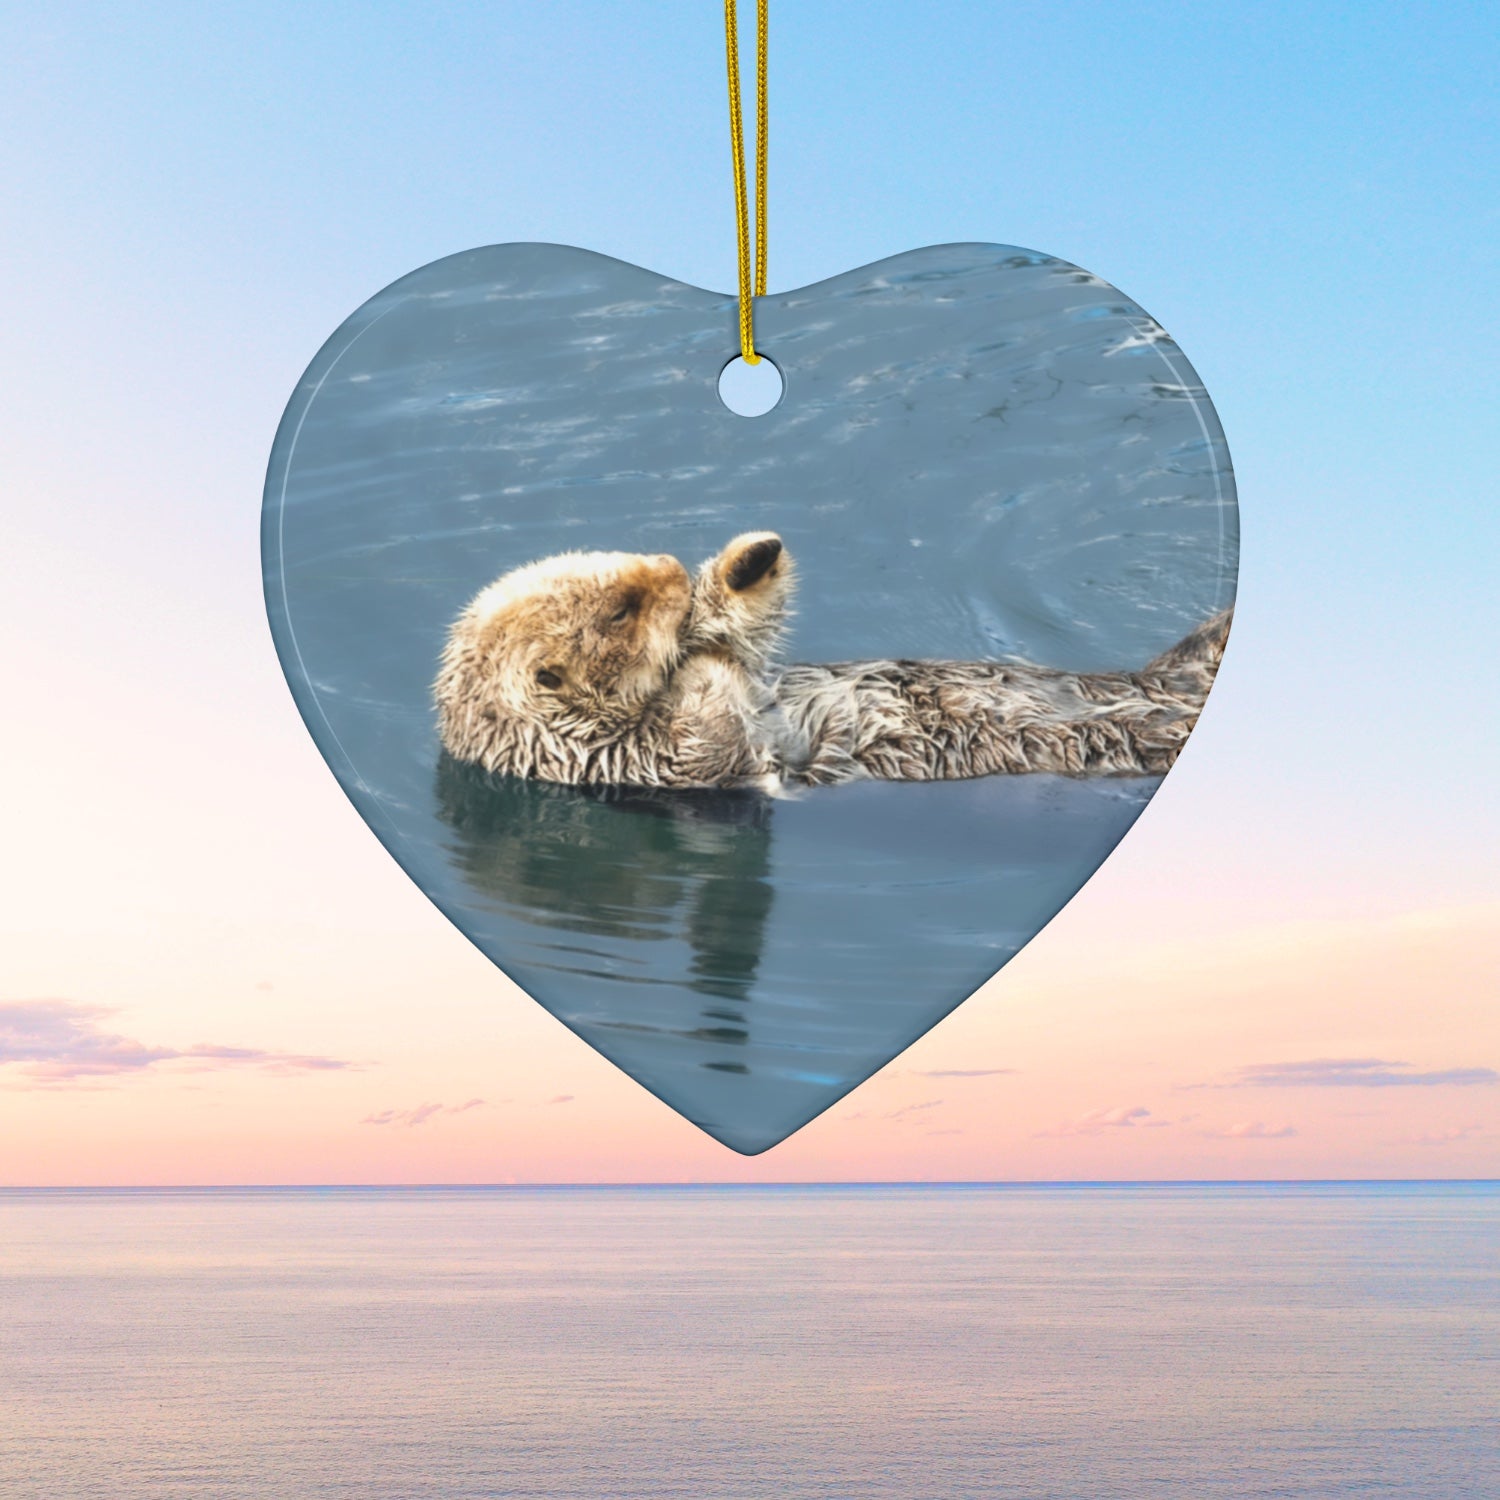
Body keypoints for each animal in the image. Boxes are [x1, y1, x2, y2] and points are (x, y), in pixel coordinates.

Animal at [434, 532, 1231, 791]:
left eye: (622, 562)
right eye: (623, 610)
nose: (669, 568)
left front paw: (744, 568)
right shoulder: (641, 762)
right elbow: (711, 730)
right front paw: (698, 654)